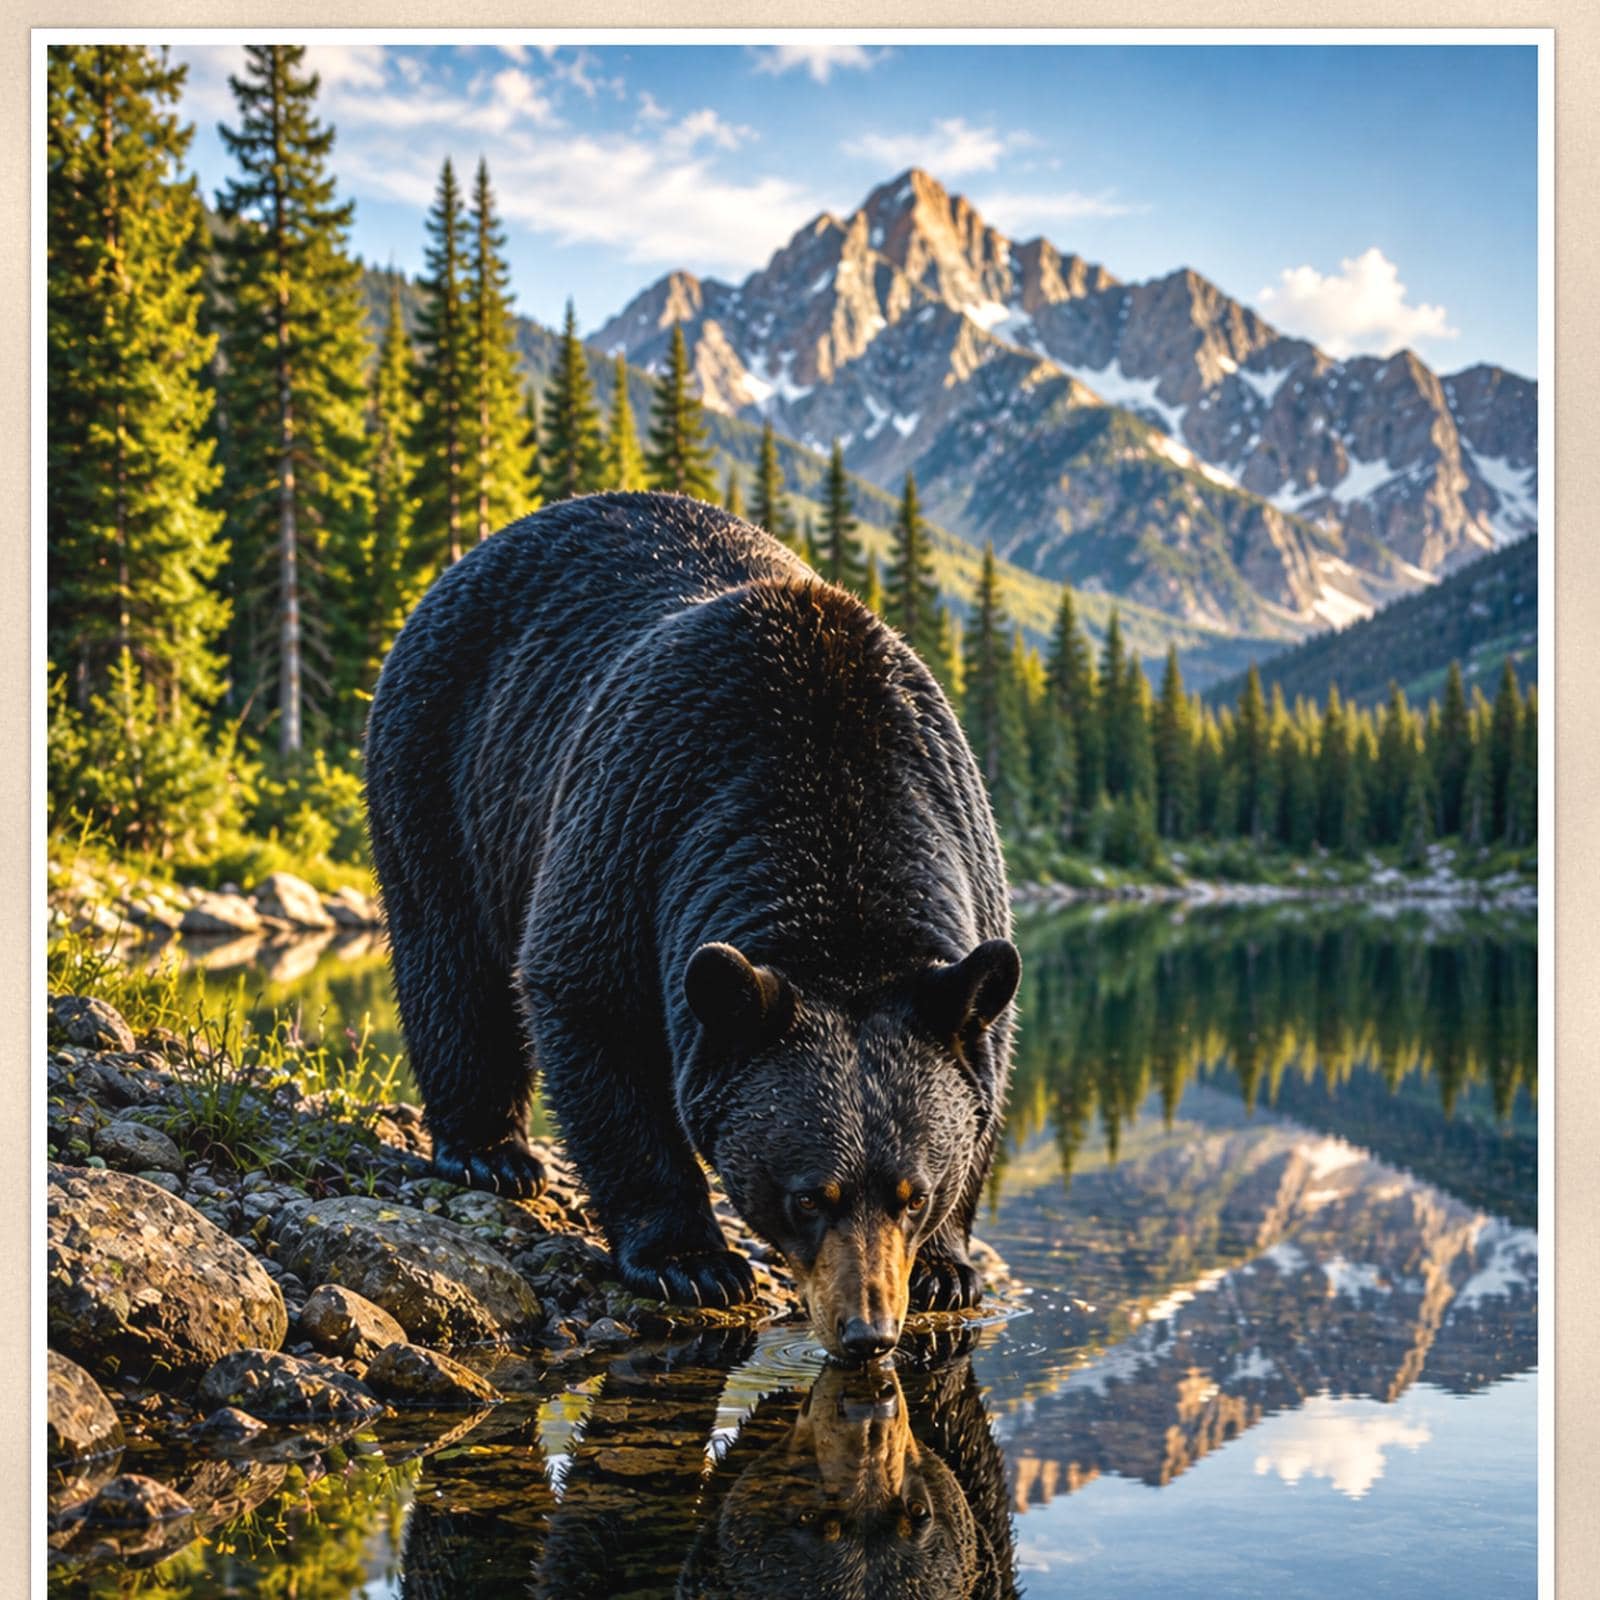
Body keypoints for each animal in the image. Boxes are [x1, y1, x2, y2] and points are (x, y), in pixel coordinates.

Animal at [364, 491, 1020, 1361]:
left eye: (913, 1195)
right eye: (808, 1196)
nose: (867, 1332)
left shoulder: (964, 849)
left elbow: (985, 1072)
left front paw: (947, 1269)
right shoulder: (641, 826)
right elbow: (593, 1011)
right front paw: (692, 1261)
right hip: (441, 763)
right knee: (450, 959)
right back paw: (489, 1154)